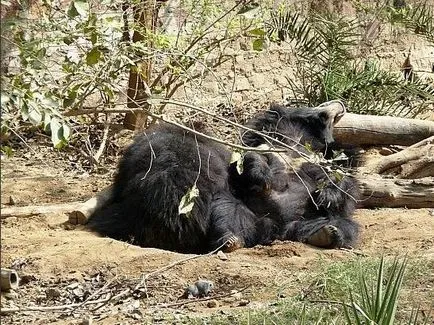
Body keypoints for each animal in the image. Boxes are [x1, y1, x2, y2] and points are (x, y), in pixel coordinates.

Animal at [87, 100, 360, 252]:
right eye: (323, 115)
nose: (339, 105)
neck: (293, 144)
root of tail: (275, 229)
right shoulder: (255, 148)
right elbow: (247, 165)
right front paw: (263, 178)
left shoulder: (322, 162)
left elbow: (344, 185)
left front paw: (327, 195)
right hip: (240, 211)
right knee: (227, 211)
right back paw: (231, 240)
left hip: (305, 220)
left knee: (344, 226)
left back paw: (328, 234)